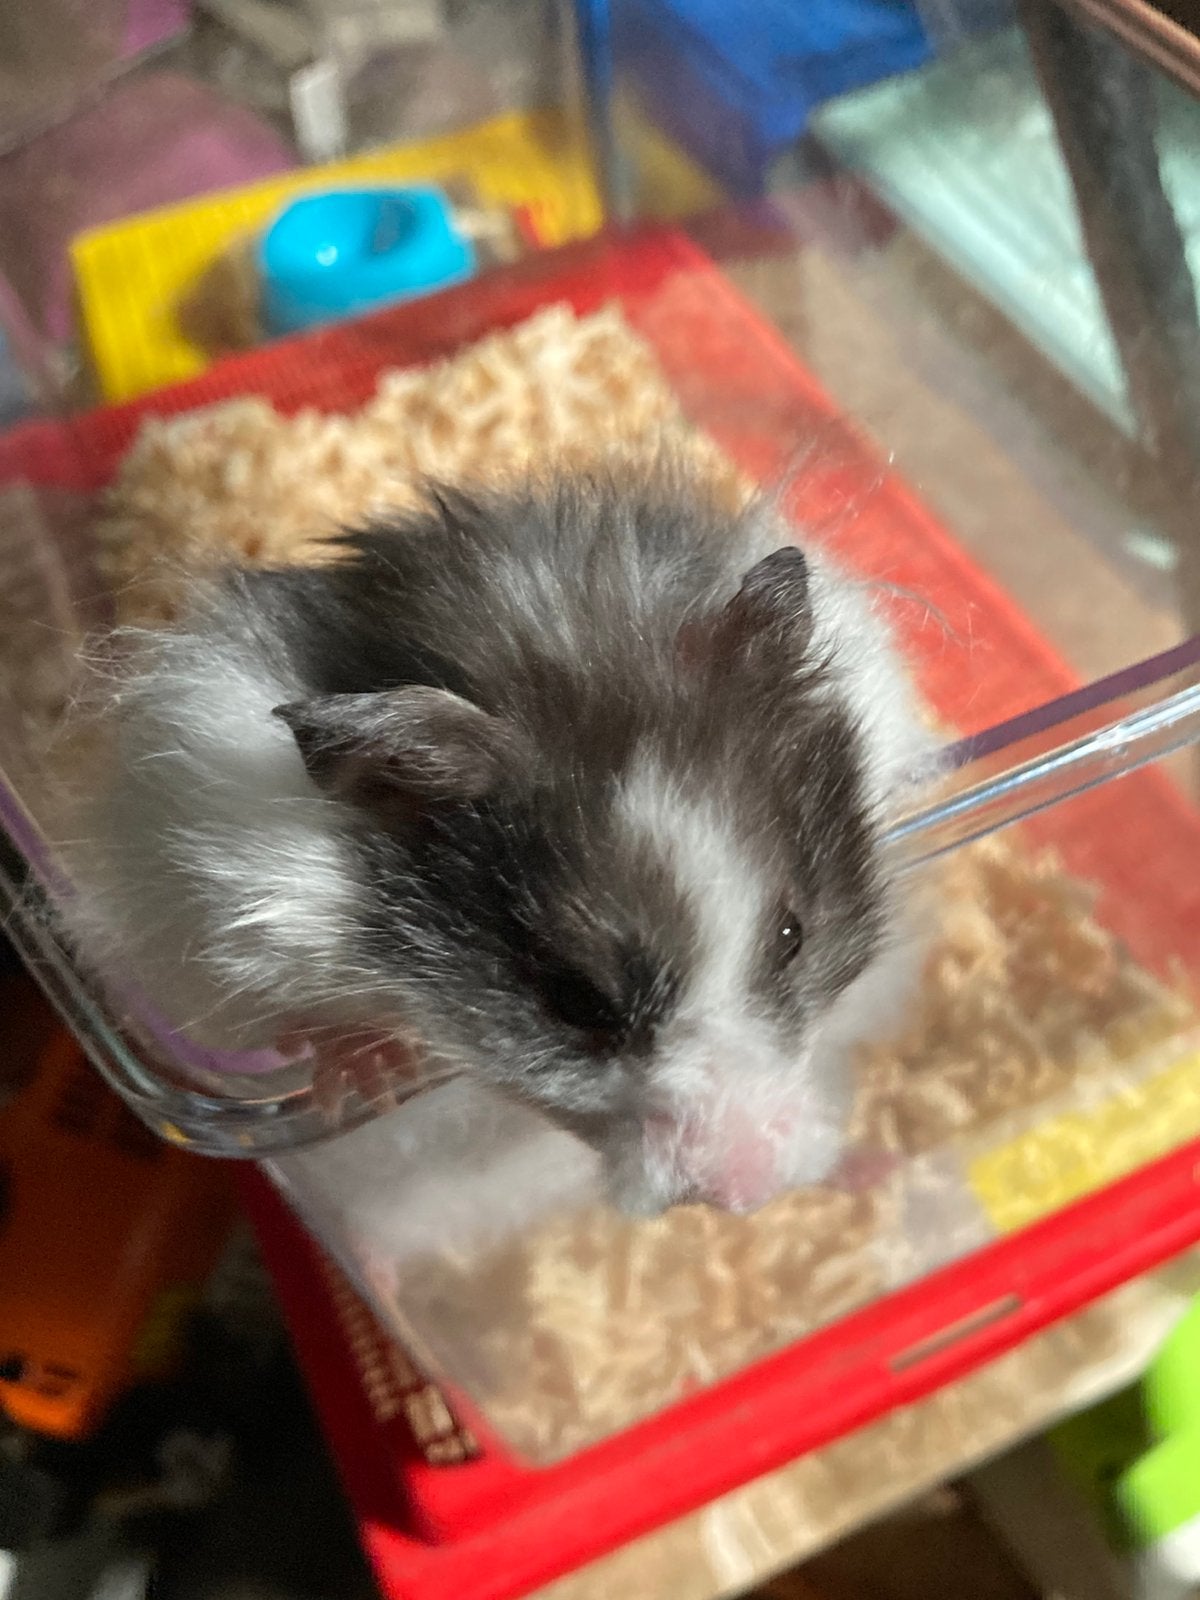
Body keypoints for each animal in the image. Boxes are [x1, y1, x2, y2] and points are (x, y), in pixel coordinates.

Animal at [56, 463, 935, 1215]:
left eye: (793, 937)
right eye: (576, 999)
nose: (752, 1195)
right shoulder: (215, 898)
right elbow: (295, 1016)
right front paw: (363, 1077)